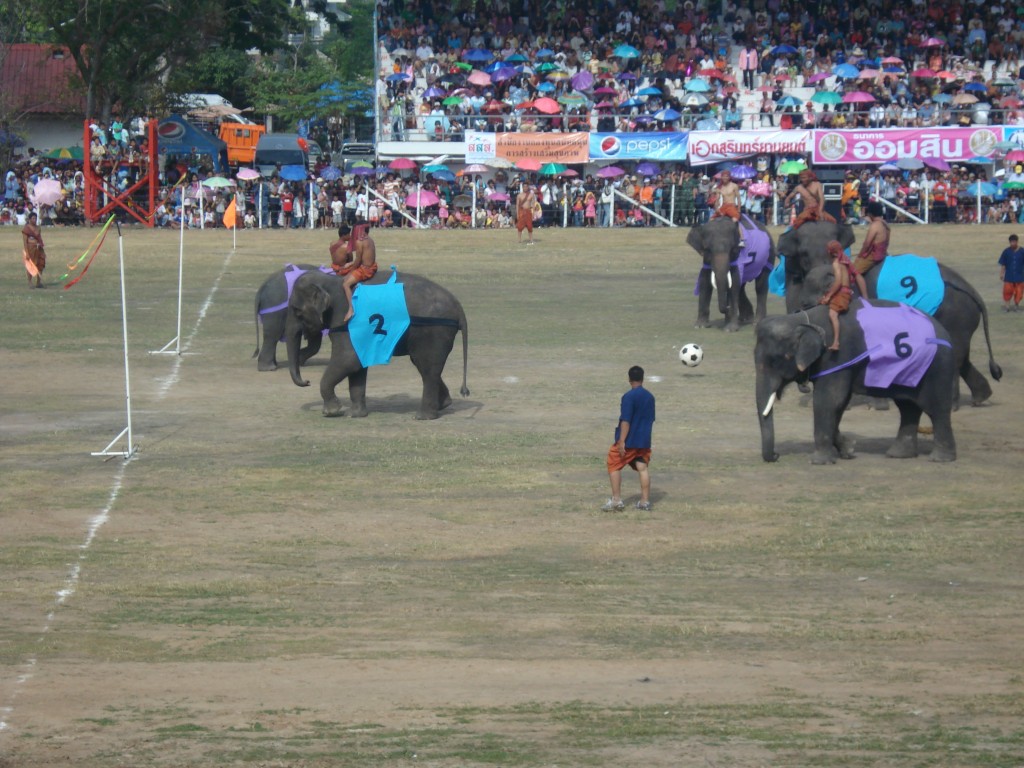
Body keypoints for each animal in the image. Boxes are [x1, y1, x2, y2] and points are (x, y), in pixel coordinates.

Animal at [284, 268, 468, 421]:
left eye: (297, 311)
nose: (307, 381)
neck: (330, 280)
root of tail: (459, 308)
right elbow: (357, 365)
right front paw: (354, 415)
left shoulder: (346, 319)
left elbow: (348, 359)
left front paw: (331, 412)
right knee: (425, 367)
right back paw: (444, 404)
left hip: (433, 330)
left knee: (427, 367)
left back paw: (422, 416)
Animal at [753, 303, 958, 466]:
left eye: (776, 360)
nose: (776, 455)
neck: (801, 319)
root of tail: (945, 333)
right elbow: (839, 403)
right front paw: (848, 450)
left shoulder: (836, 356)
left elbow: (828, 400)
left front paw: (820, 461)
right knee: (908, 407)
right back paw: (899, 455)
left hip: (937, 368)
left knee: (936, 409)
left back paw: (940, 458)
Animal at [794, 257, 1003, 409]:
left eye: (806, 304)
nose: (804, 389)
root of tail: (974, 292)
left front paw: (877, 404)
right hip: (962, 320)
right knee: (962, 355)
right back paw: (981, 398)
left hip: (956, 315)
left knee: (957, 355)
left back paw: (951, 405)